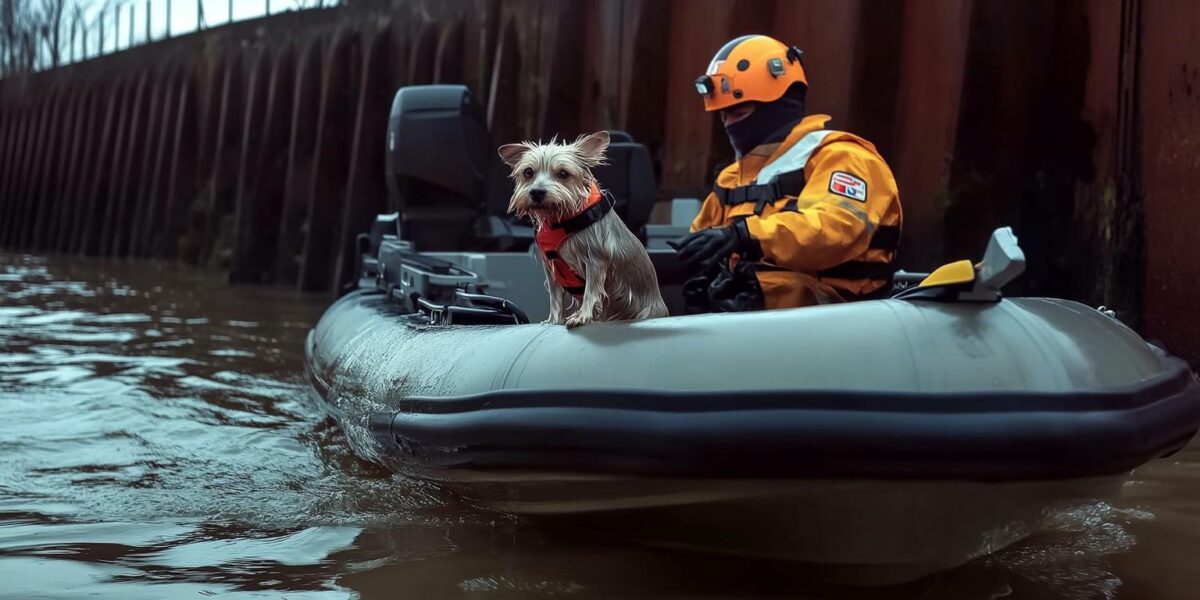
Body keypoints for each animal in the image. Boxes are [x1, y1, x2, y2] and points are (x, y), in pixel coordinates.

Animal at [496, 132, 667, 328]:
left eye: (563, 173)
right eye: (528, 172)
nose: (537, 192)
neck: (560, 220)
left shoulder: (596, 259)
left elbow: (591, 290)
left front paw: (583, 315)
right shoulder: (552, 270)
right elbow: (555, 297)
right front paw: (553, 320)